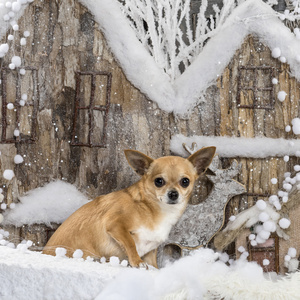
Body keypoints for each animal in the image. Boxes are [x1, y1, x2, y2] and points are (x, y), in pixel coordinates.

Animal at [42, 148, 216, 268]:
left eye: (185, 181)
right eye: (159, 181)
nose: (173, 194)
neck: (154, 209)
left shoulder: (151, 249)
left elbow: (153, 263)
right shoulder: (115, 225)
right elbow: (131, 244)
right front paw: (137, 262)